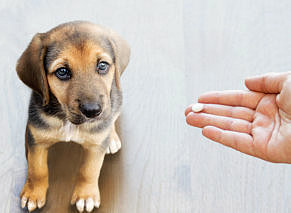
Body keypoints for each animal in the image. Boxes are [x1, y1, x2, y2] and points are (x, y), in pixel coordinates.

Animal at [15, 20, 130, 212]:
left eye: (102, 66)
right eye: (62, 71)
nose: (93, 111)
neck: (68, 121)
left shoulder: (95, 146)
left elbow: (89, 170)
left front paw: (85, 195)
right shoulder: (36, 139)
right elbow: (37, 168)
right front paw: (33, 193)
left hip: (116, 99)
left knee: (112, 117)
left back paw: (111, 138)